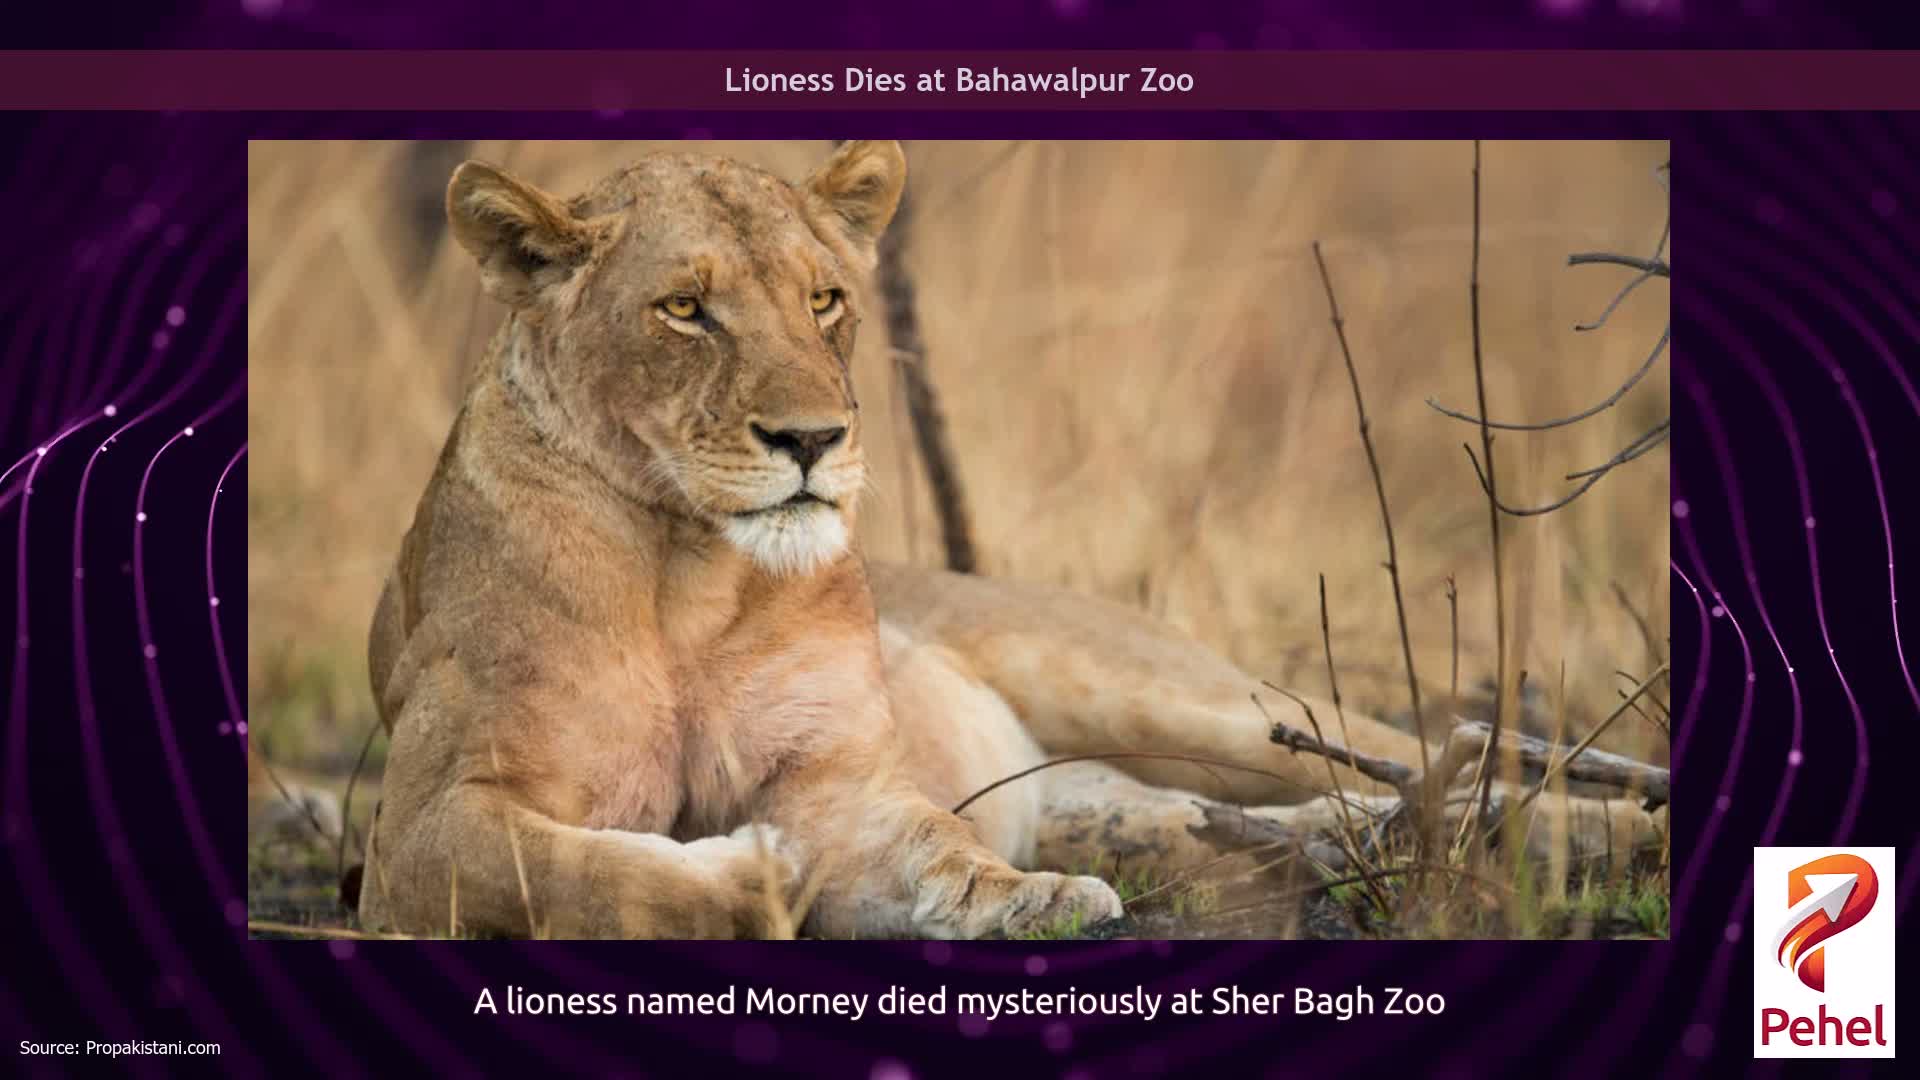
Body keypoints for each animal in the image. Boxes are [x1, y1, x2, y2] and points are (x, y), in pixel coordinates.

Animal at [358, 141, 1662, 940]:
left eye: (824, 299)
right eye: (685, 309)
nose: (813, 439)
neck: (690, 572)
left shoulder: (840, 782)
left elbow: (931, 840)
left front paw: (1024, 898)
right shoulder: (416, 832)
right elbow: (576, 869)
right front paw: (757, 873)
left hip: (1182, 698)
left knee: (1451, 757)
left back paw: (1599, 832)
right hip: (1131, 788)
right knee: (1305, 816)